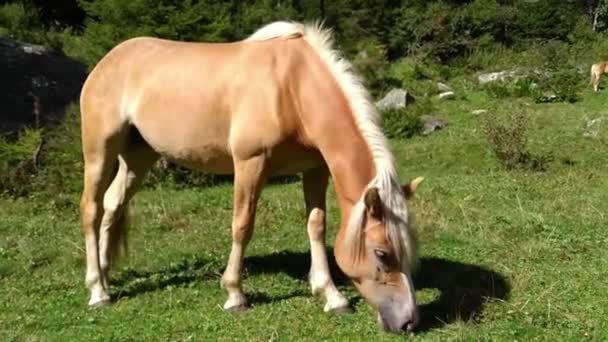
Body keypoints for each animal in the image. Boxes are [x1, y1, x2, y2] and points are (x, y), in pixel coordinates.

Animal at [78, 20, 422, 332]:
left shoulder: (314, 168)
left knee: (113, 205)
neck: (293, 88)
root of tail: (108, 60)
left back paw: (107, 275)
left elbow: (316, 225)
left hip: (138, 157)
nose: (408, 322)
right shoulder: (250, 163)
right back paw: (97, 290)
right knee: (91, 209)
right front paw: (235, 295)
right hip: (99, 152)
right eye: (382, 253)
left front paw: (331, 296)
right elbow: (242, 225)